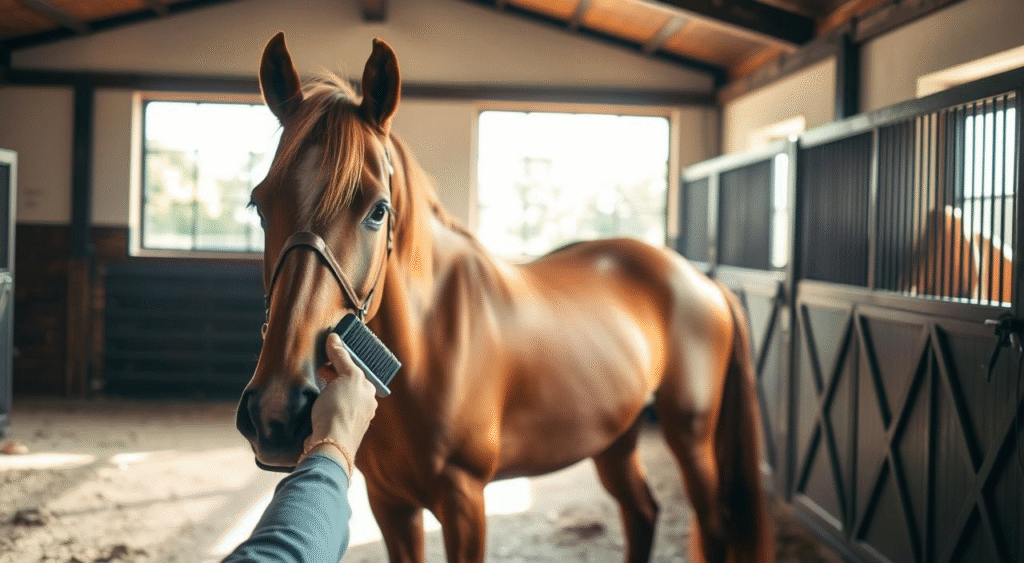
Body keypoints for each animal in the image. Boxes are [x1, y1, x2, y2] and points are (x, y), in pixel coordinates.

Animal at [235, 32, 773, 563]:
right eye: (259, 205)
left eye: (377, 210)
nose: (277, 413)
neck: (432, 342)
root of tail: (704, 281)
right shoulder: (390, 503)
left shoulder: (464, 500)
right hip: (615, 437)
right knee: (642, 513)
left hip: (692, 435)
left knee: (713, 524)